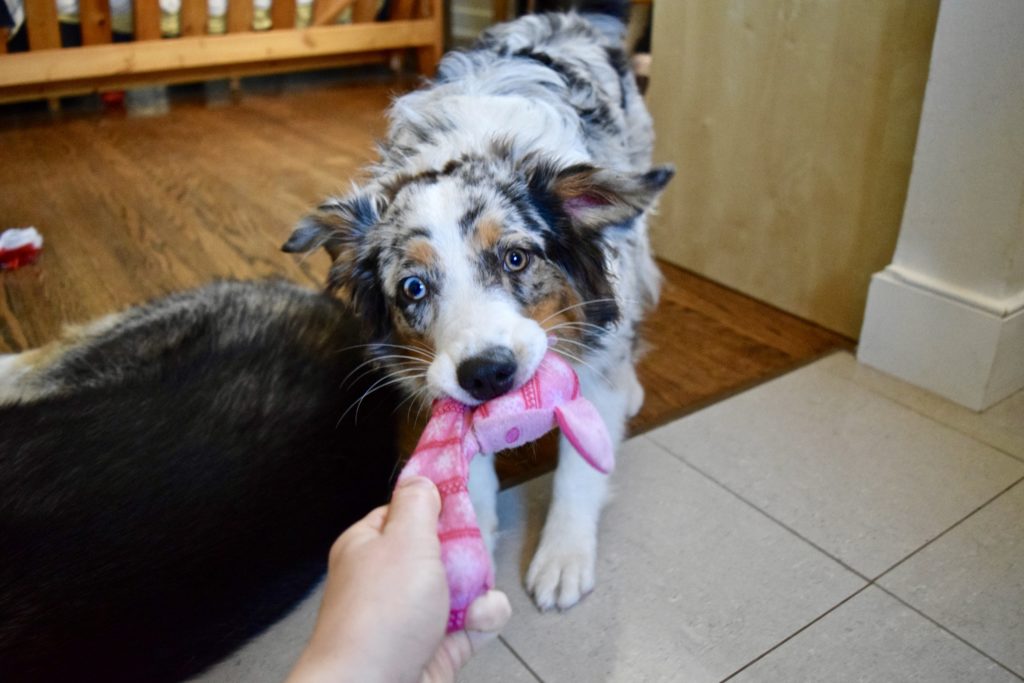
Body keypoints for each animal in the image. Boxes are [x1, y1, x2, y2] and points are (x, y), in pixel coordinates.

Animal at [282, 0, 671, 610]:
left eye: (515, 258)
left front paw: (562, 558)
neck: (471, 147)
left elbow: (580, 466)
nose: (487, 375)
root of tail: (572, 13)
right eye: (413, 288)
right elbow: (470, 469)